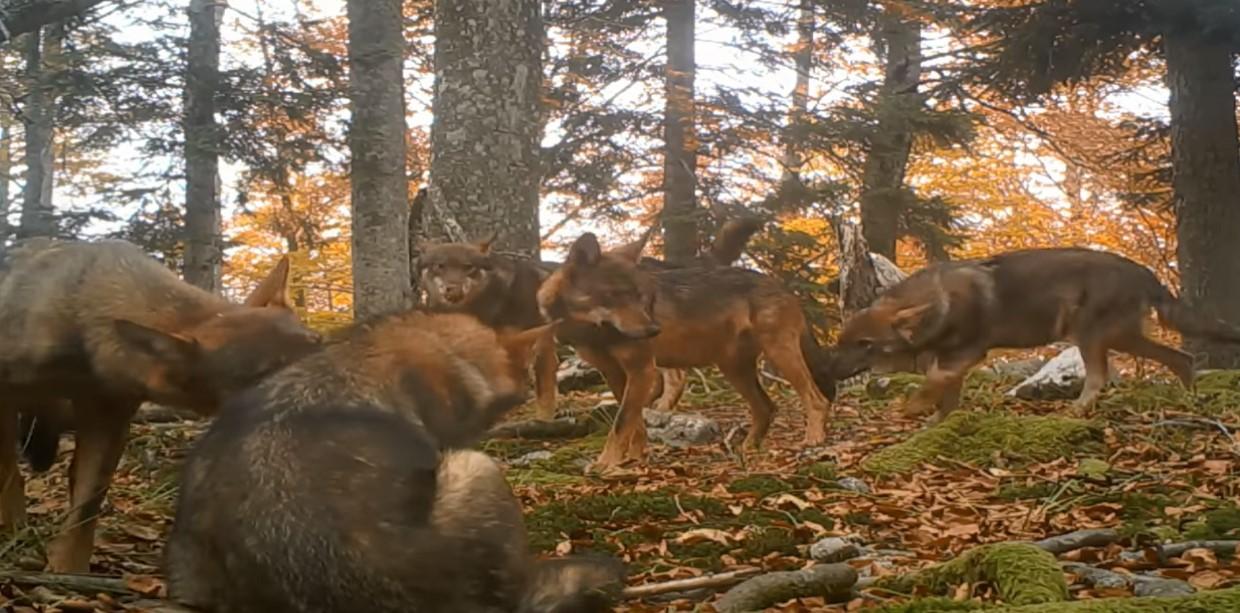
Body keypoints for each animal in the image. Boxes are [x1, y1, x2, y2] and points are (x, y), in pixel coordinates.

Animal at [0, 237, 319, 573]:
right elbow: (8, 474)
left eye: (321, 345)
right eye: (268, 375)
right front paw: (14, 531)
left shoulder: (109, 418)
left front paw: (68, 571)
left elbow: (86, 507)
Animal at [538, 230, 838, 469]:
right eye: (615, 295)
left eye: (641, 297)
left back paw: (812, 440)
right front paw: (634, 459)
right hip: (734, 369)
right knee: (767, 407)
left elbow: (622, 422)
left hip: (779, 354)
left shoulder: (643, 370)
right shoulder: (613, 373)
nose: (654, 330)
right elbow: (634, 424)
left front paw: (605, 464)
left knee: (816, 399)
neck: (592, 332)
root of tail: (783, 286)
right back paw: (746, 450)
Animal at [828, 245, 1240, 421]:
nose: (827, 370)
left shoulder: (965, 354)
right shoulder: (953, 359)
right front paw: (934, 424)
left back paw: (1074, 412)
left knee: (1103, 376)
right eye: (841, 343)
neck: (940, 303)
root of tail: (1146, 273)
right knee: (1181, 358)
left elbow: (931, 384)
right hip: (1114, 337)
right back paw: (1190, 400)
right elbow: (946, 396)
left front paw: (912, 409)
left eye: (865, 345)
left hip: (1095, 337)